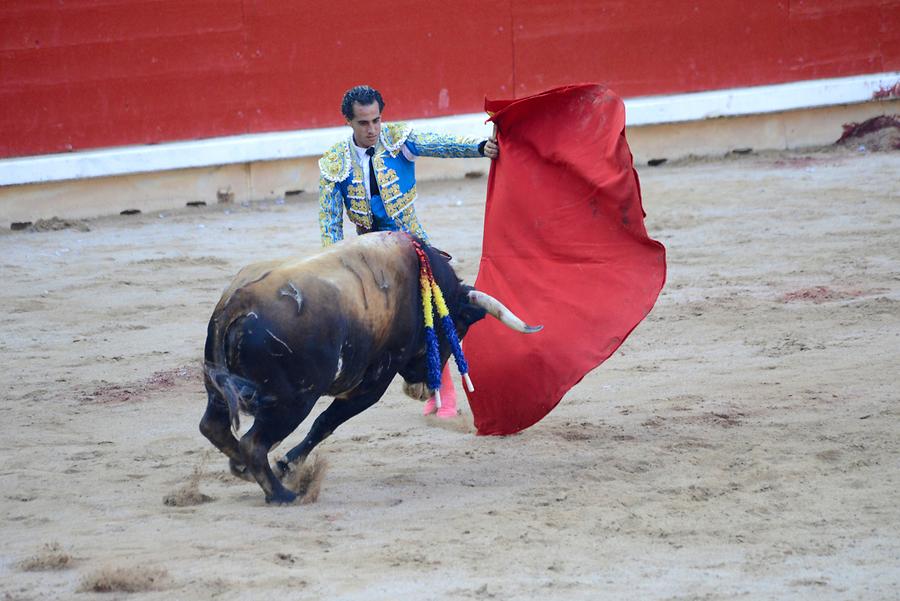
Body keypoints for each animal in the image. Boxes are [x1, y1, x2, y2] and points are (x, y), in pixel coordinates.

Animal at [202, 230, 540, 502]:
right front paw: (287, 464)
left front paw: (285, 464)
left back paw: (246, 471)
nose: (421, 390)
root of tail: (238, 302)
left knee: (213, 427)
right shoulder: (374, 381)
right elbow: (326, 421)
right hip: (292, 401)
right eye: (455, 329)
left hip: (220, 391)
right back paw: (284, 495)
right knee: (253, 443)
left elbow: (325, 422)